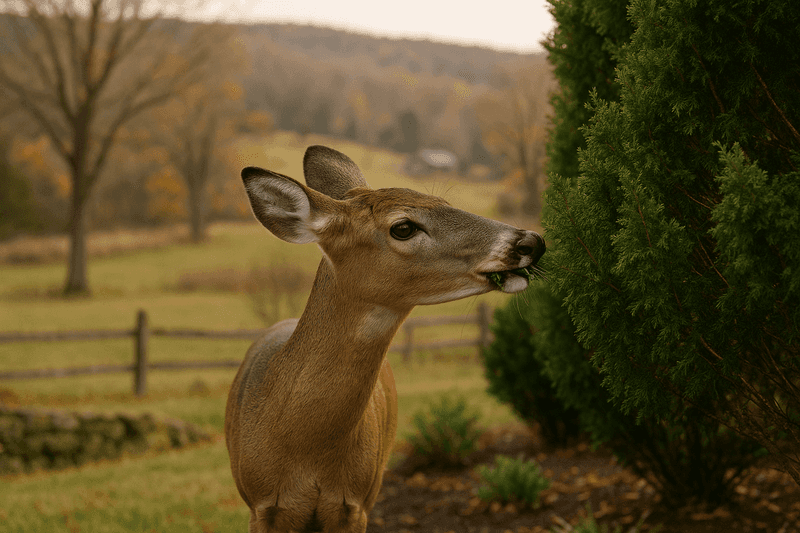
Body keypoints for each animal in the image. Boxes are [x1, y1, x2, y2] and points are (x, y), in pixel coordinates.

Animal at [225, 145, 545, 533]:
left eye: (443, 201)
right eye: (403, 227)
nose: (532, 241)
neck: (305, 454)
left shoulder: (356, 504)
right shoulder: (261, 506)